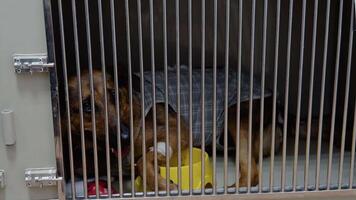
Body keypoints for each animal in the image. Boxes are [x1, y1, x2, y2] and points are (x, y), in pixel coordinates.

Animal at [63, 65, 280, 191]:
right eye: (86, 106)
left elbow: (144, 160)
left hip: (235, 115)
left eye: (114, 95)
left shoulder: (177, 129)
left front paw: (161, 184)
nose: (125, 137)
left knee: (251, 173)